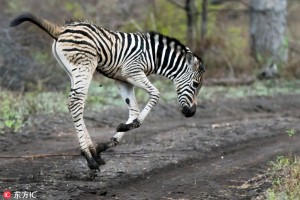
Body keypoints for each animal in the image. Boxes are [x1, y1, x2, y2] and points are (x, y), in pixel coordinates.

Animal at [9, 12, 206, 170]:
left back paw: (93, 153)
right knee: (75, 103)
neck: (155, 56)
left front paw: (109, 141)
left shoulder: (123, 80)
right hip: (85, 66)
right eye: (196, 85)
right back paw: (89, 158)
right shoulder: (133, 72)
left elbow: (133, 111)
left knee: (76, 105)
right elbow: (155, 94)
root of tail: (62, 29)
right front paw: (128, 126)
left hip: (72, 71)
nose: (191, 113)